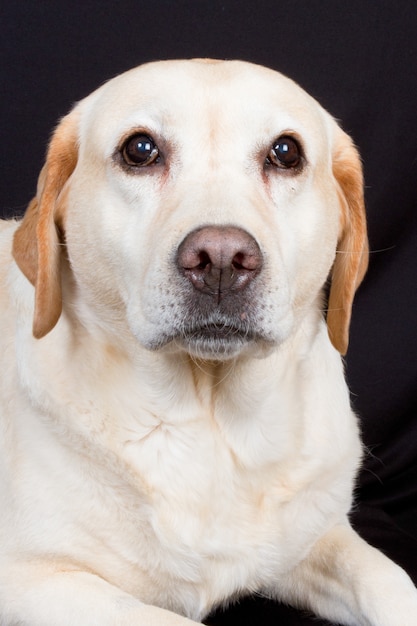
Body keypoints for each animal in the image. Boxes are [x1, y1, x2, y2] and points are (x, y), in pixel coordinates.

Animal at [0, 59, 416, 624]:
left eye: (286, 153)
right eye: (140, 150)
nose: (220, 259)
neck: (212, 423)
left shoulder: (316, 539)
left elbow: (392, 584)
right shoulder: (33, 580)